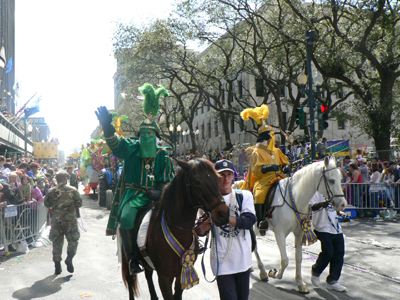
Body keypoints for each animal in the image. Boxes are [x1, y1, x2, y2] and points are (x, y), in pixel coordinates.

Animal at [120, 158, 230, 298]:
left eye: (217, 178)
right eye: (196, 181)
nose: (223, 214)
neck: (178, 230)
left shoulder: (181, 273)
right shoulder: (164, 277)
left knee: (148, 275)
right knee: (130, 280)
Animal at [253, 157, 346, 292]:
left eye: (340, 180)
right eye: (331, 180)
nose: (343, 204)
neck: (294, 198)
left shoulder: (299, 232)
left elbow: (298, 258)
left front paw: (300, 282)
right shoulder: (279, 232)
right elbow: (285, 260)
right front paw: (275, 273)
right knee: (254, 246)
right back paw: (263, 272)